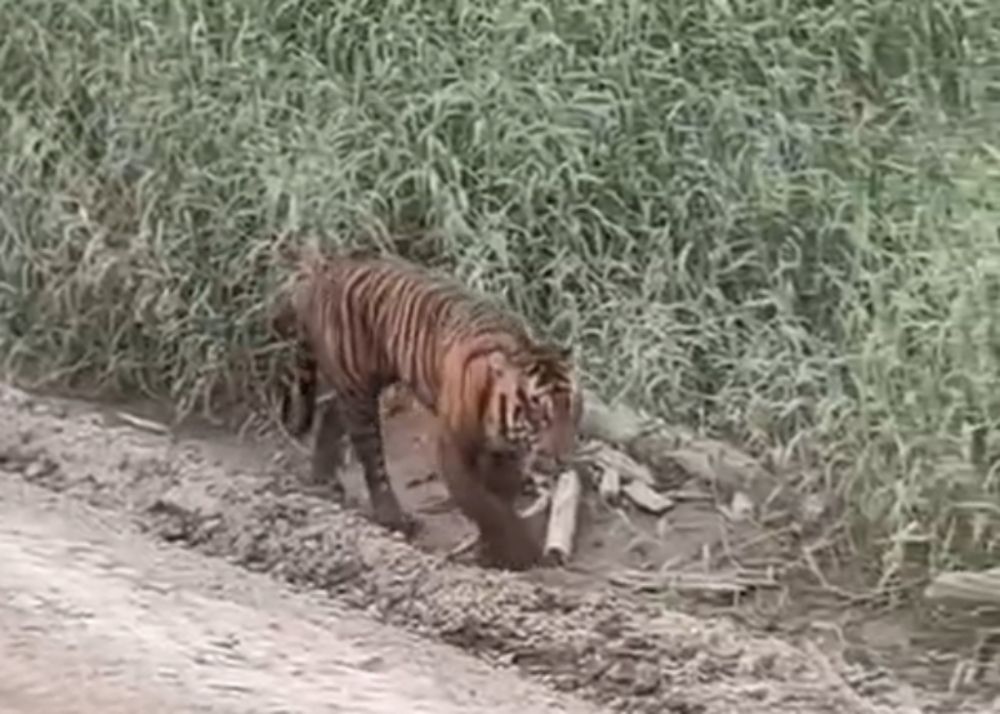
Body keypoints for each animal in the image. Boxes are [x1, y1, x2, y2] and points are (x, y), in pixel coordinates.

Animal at [272, 243, 584, 568]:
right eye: (540, 413)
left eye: (573, 410)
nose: (563, 459)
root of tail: (327, 266)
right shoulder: (454, 448)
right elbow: (482, 503)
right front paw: (517, 553)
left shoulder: (507, 455)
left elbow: (501, 498)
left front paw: (495, 551)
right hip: (359, 390)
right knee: (372, 459)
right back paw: (393, 517)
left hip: (353, 386)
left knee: (331, 413)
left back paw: (324, 477)